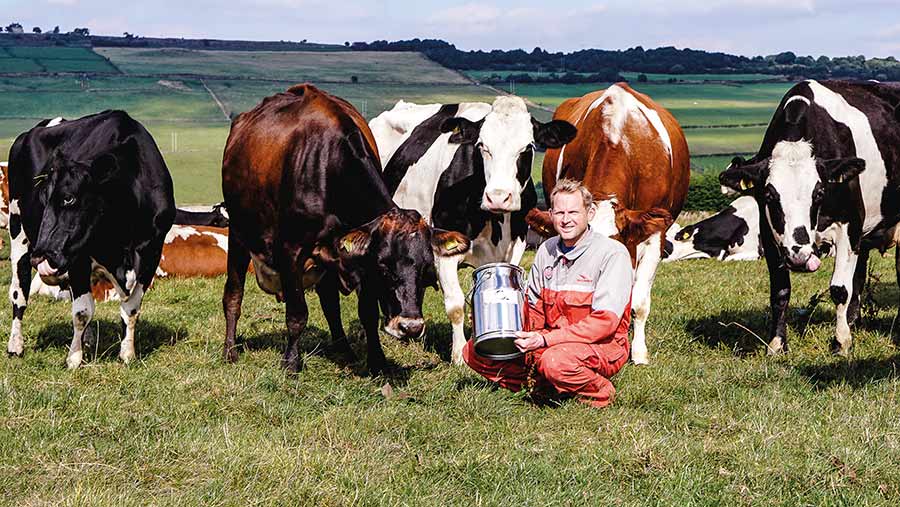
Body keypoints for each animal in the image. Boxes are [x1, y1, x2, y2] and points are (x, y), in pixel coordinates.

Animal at [6, 111, 176, 370]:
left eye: (69, 198)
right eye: (44, 197)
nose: (41, 257)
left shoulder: (151, 253)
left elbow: (131, 308)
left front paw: (127, 353)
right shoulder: (78, 257)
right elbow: (82, 311)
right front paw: (74, 358)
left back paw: (87, 339)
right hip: (18, 231)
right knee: (19, 292)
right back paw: (15, 345)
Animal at [222, 84, 472, 374]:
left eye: (426, 268)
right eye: (384, 265)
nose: (410, 327)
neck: (327, 167)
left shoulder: (358, 257)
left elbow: (367, 313)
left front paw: (377, 360)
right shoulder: (292, 250)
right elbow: (297, 313)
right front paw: (291, 362)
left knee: (330, 303)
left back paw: (344, 349)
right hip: (238, 233)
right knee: (233, 294)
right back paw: (230, 350)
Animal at [370, 96, 576, 366]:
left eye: (528, 147)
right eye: (482, 146)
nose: (498, 197)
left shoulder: (516, 246)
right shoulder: (444, 251)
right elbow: (456, 305)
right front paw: (459, 355)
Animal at [720, 80, 900, 358]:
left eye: (819, 192)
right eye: (769, 194)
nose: (799, 254)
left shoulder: (850, 223)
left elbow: (840, 288)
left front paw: (840, 343)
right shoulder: (769, 231)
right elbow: (780, 291)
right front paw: (777, 344)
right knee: (859, 275)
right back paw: (854, 322)